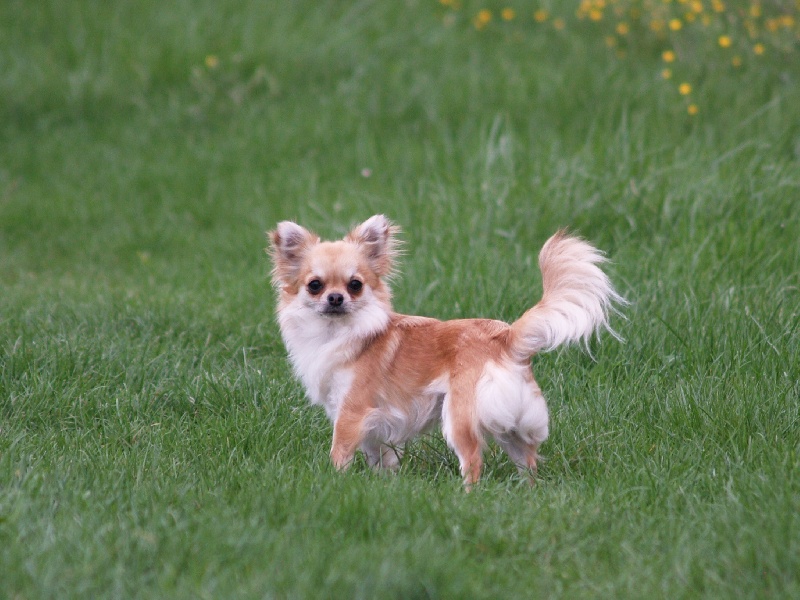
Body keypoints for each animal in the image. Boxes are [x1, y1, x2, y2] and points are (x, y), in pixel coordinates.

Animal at [268, 216, 624, 488]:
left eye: (355, 285)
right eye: (314, 285)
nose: (336, 298)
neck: (336, 334)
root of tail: (504, 336)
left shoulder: (352, 413)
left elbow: (339, 451)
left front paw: (334, 482)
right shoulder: (375, 429)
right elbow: (380, 458)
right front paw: (382, 487)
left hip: (459, 415)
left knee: (474, 461)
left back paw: (467, 494)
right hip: (510, 421)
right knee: (528, 459)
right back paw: (529, 492)